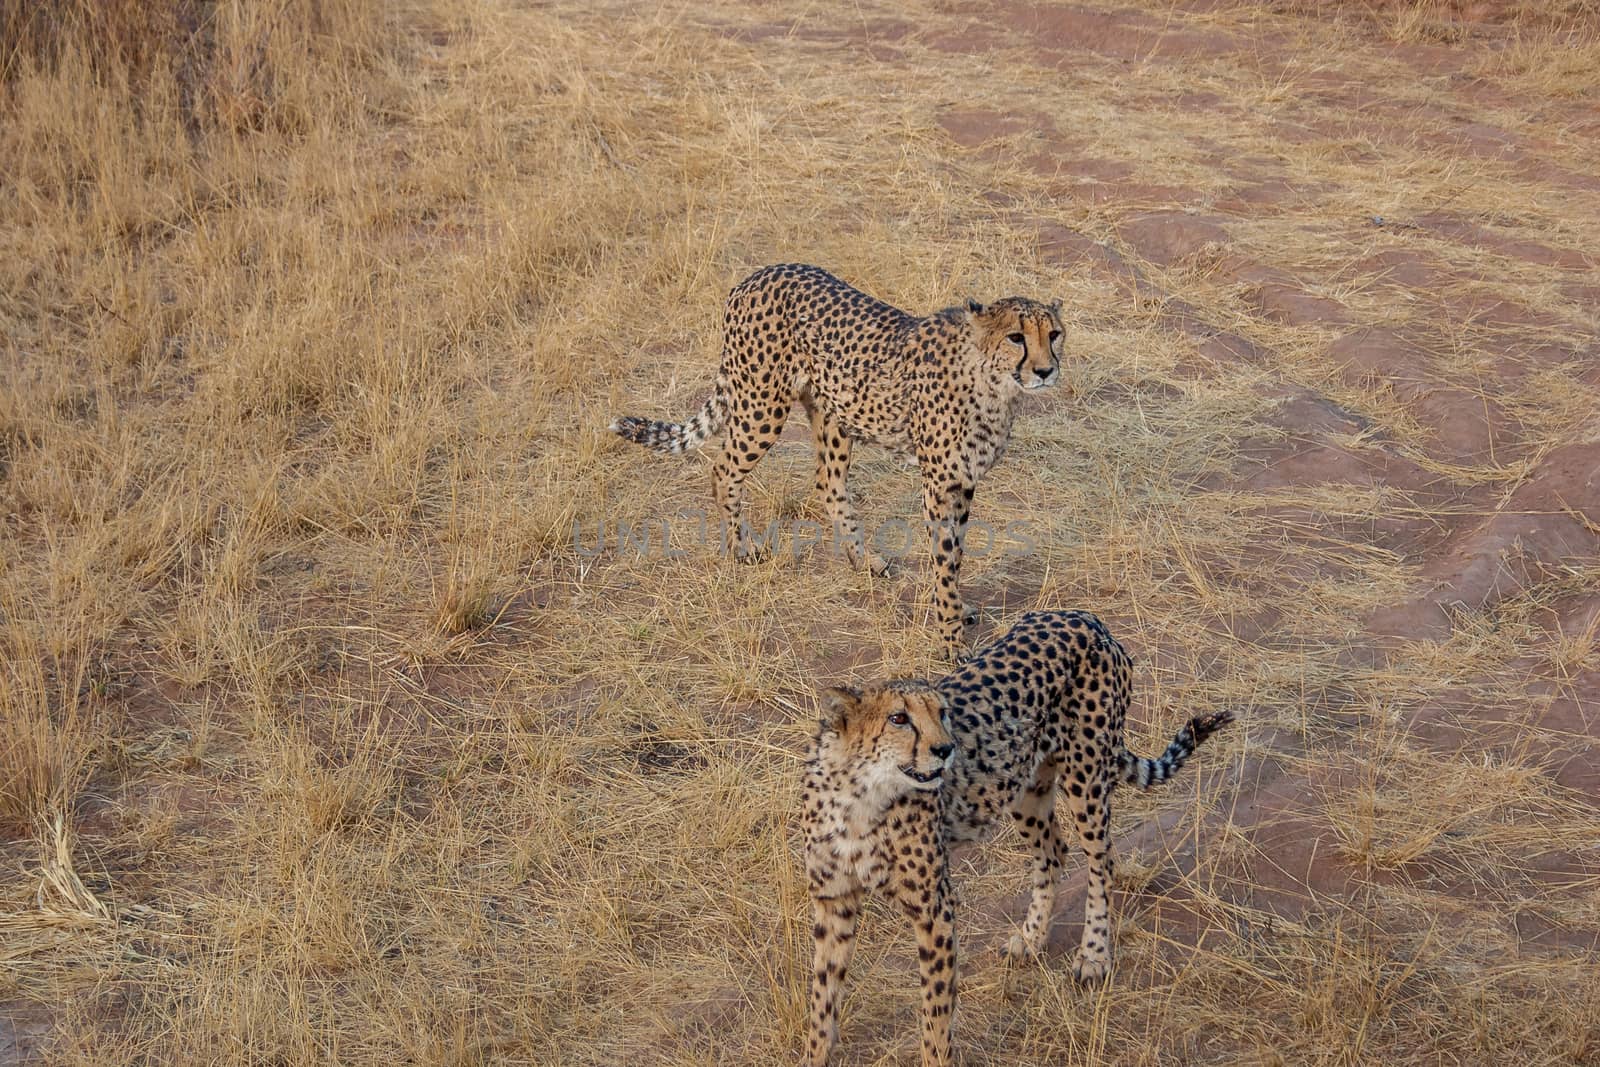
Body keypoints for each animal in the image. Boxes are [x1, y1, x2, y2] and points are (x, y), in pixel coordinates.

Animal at [608, 262, 1062, 659]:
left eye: (1055, 334)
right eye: (1016, 337)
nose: (1046, 371)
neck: (994, 383)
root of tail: (758, 275)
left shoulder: (964, 482)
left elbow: (956, 555)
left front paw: (957, 610)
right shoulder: (939, 483)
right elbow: (944, 558)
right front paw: (950, 637)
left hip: (832, 414)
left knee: (828, 482)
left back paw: (863, 559)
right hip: (763, 405)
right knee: (724, 469)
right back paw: (742, 548)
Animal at [800, 614, 1235, 1062]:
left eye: (942, 713)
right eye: (898, 719)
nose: (946, 749)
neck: (859, 797)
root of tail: (1087, 619)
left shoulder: (934, 908)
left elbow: (935, 1013)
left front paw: (937, 1055)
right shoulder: (834, 900)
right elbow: (822, 997)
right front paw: (814, 1054)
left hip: (1086, 779)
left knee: (1102, 861)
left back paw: (1094, 954)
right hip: (1025, 785)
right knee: (1053, 851)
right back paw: (1032, 937)